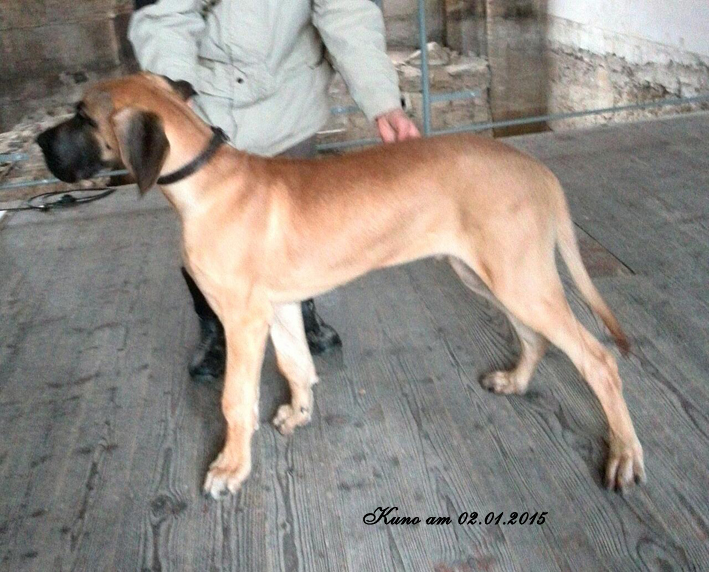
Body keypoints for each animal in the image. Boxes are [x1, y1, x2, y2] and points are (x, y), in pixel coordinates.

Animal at [36, 73, 645, 498]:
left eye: (81, 116)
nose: (39, 141)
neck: (204, 178)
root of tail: (535, 168)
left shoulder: (241, 318)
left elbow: (235, 400)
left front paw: (231, 467)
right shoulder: (277, 307)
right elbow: (295, 365)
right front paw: (298, 412)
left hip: (520, 279)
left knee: (597, 359)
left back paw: (624, 454)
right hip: (488, 274)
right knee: (536, 338)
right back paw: (516, 382)